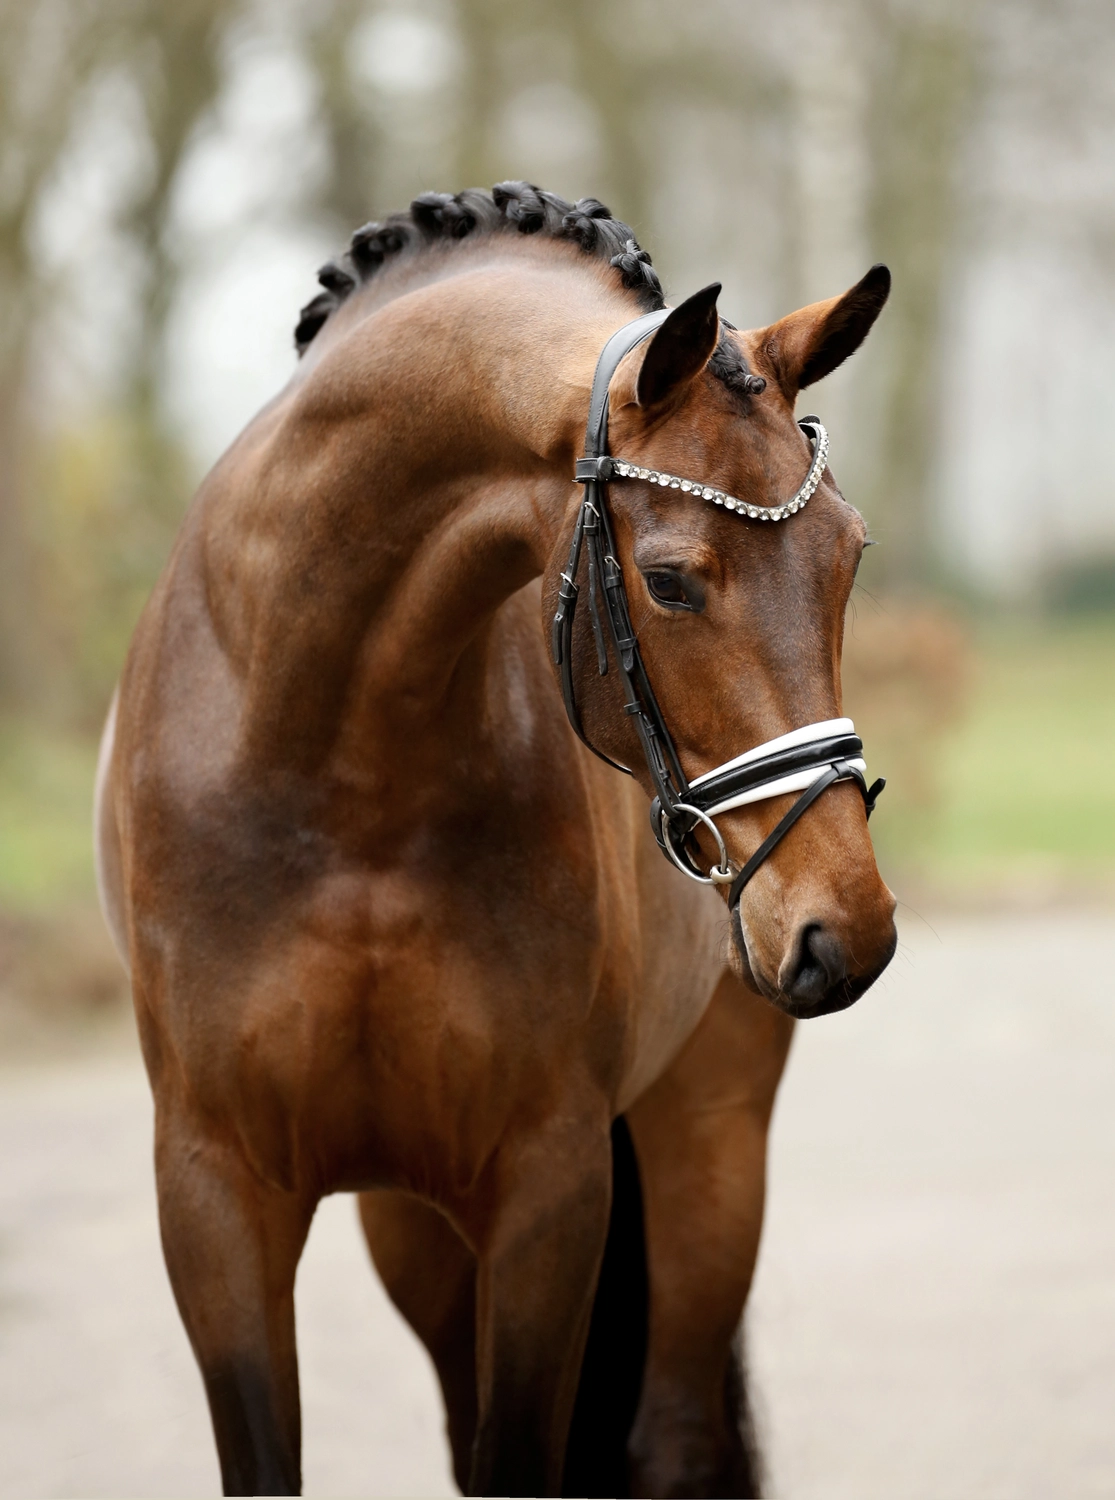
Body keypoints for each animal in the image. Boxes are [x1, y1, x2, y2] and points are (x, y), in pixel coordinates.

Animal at [94, 182, 897, 1498]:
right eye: (669, 581)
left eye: (849, 557)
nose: (847, 929)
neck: (341, 770)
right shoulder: (213, 1196)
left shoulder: (545, 1188)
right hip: (413, 1227)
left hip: (708, 1143)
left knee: (672, 1434)